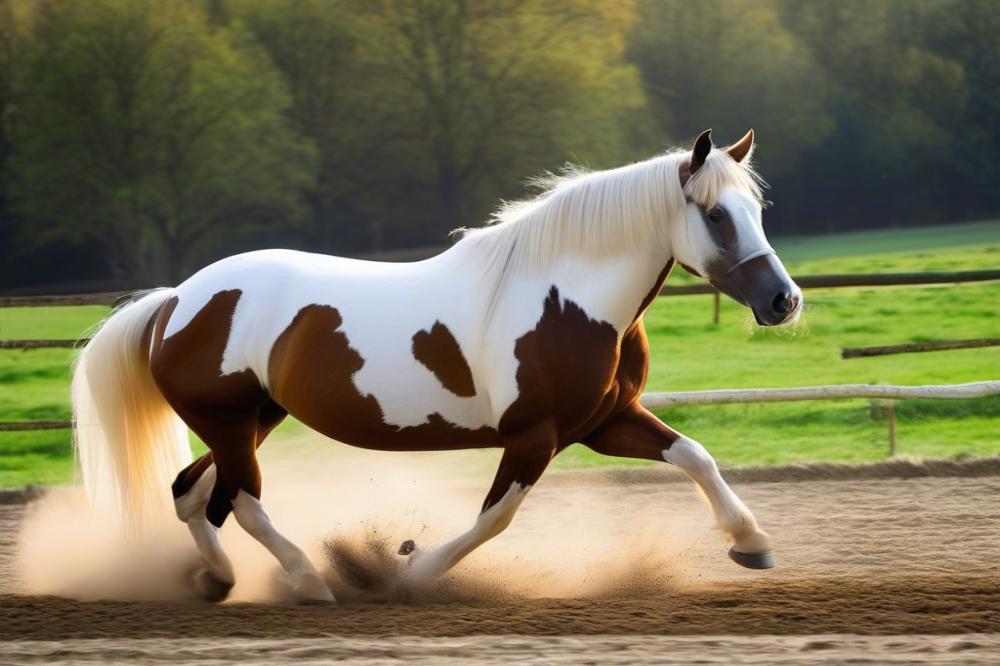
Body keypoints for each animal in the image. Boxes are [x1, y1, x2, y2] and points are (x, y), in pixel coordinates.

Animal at [72, 127, 804, 600]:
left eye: (757, 208)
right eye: (715, 215)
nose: (784, 300)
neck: (566, 297)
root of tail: (175, 301)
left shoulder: (606, 422)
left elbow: (695, 456)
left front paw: (753, 543)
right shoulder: (535, 436)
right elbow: (495, 516)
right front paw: (413, 572)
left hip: (255, 418)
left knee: (194, 494)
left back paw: (219, 580)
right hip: (230, 423)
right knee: (242, 501)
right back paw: (309, 580)